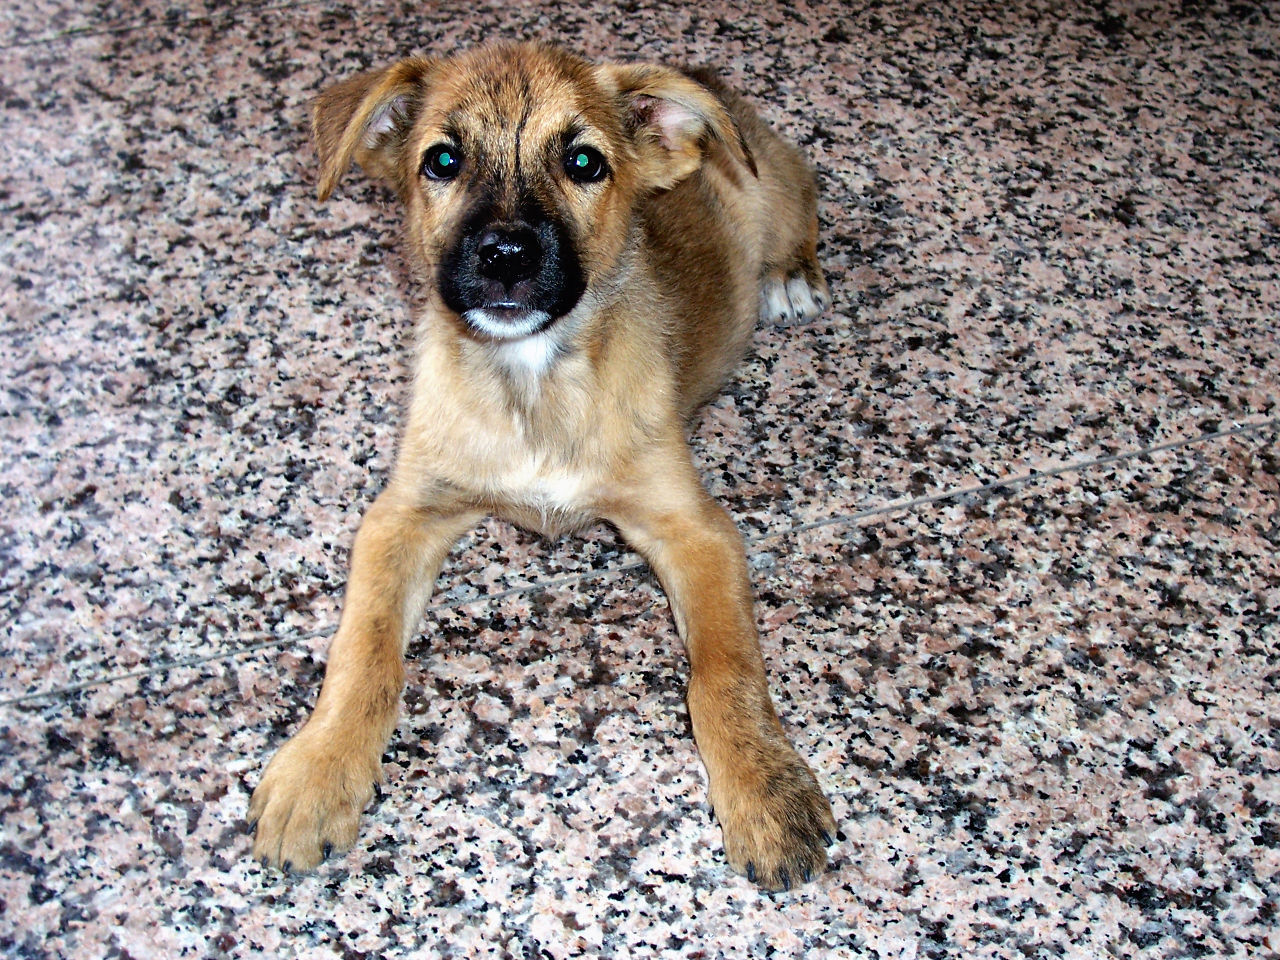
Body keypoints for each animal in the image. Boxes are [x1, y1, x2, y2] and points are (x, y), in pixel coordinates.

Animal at [249, 41, 834, 890]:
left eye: (584, 161)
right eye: (443, 160)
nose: (506, 255)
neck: (532, 381)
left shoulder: (694, 528)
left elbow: (725, 674)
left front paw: (765, 792)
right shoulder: (404, 515)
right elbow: (362, 653)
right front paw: (319, 772)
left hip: (767, 184)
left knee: (803, 195)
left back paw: (791, 274)